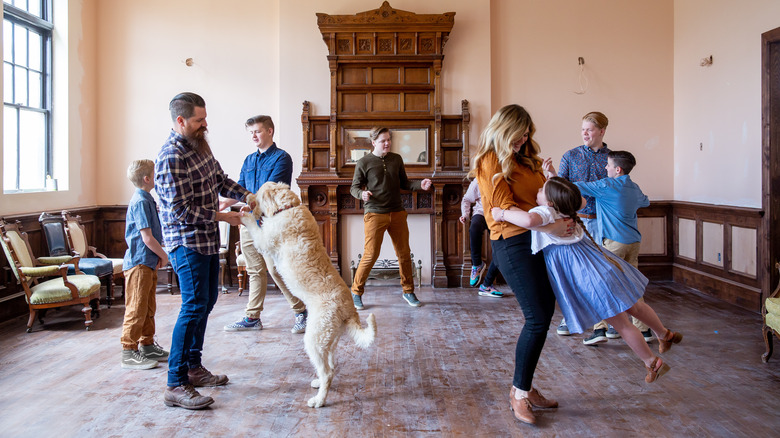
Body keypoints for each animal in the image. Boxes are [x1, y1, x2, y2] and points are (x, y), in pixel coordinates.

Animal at [242, 181, 380, 408]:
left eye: (259, 192)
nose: (247, 197)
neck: (287, 208)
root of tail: (349, 310)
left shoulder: (264, 241)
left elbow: (254, 226)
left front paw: (243, 215)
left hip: (314, 339)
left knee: (328, 373)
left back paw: (319, 400)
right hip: (328, 340)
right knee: (331, 366)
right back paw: (317, 384)